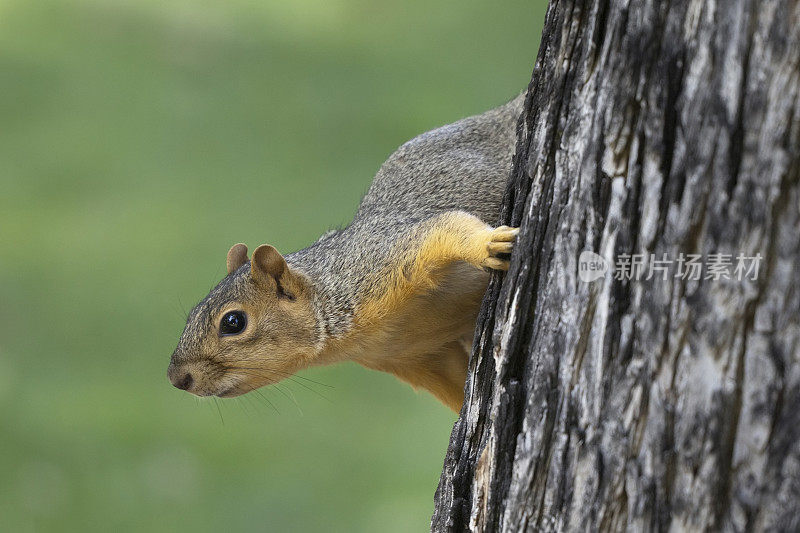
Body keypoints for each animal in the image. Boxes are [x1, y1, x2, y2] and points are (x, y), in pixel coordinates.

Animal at [167, 93, 524, 412]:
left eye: (233, 322)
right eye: (192, 314)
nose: (177, 379)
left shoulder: (385, 256)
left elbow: (446, 227)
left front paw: (488, 244)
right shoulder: (420, 356)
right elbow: (455, 387)